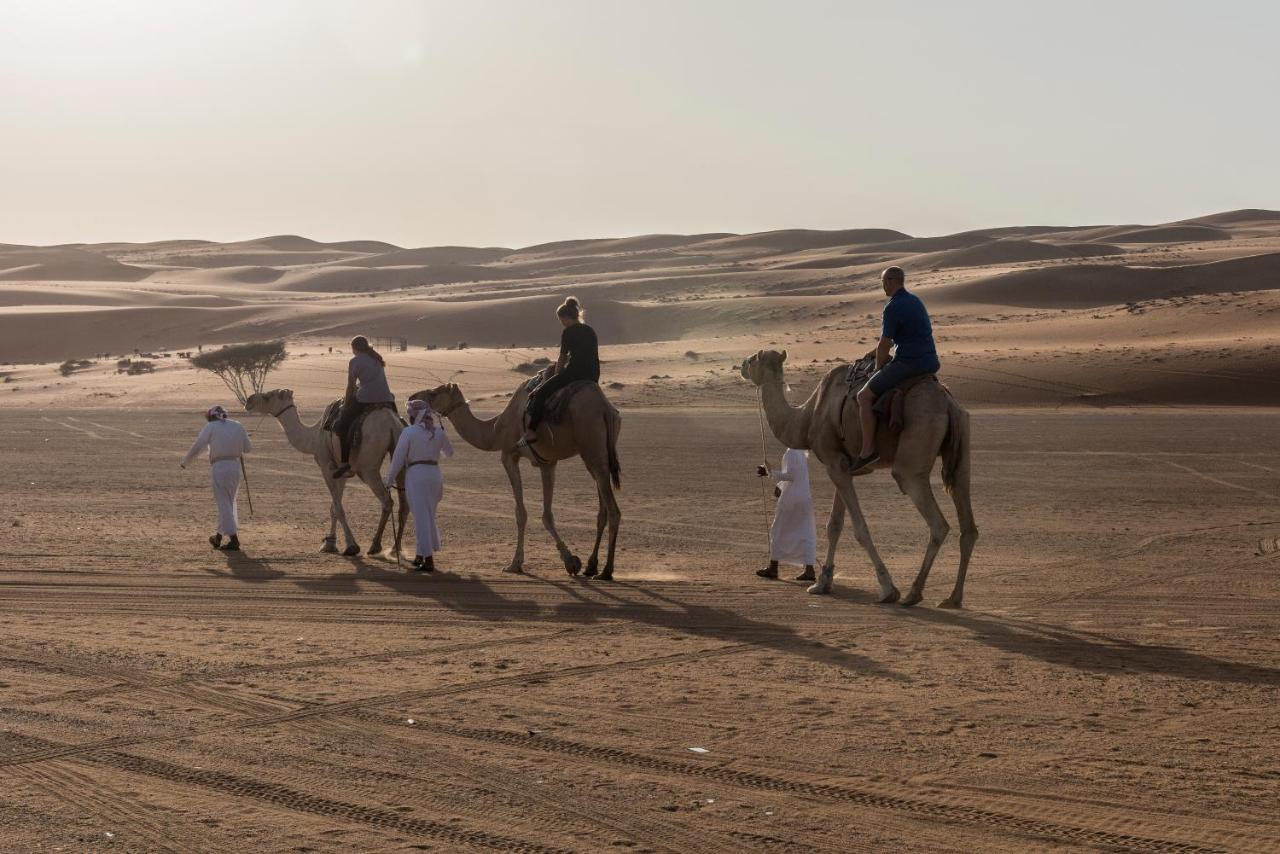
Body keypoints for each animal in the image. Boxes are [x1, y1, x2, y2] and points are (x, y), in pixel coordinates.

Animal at [241, 389, 407, 560]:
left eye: (268, 396)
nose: (248, 401)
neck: (314, 436)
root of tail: (391, 424)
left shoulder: (326, 467)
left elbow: (338, 508)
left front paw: (351, 546)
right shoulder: (340, 472)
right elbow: (333, 507)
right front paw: (329, 544)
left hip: (368, 467)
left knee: (387, 501)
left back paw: (375, 546)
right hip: (400, 454)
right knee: (404, 505)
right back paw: (394, 549)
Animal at [412, 381, 622, 581]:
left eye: (433, 393)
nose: (412, 397)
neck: (495, 430)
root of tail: (606, 409)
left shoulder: (508, 454)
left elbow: (521, 513)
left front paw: (515, 564)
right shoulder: (547, 462)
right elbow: (547, 515)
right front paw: (571, 561)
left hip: (591, 446)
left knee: (613, 511)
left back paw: (606, 571)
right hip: (598, 455)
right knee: (602, 509)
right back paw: (591, 566)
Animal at [737, 348, 972, 606]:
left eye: (755, 358)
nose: (742, 365)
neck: (808, 417)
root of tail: (948, 403)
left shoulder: (834, 463)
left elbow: (860, 529)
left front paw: (888, 589)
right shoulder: (842, 466)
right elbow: (834, 525)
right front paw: (822, 583)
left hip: (914, 454)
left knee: (937, 523)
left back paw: (913, 593)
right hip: (961, 452)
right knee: (968, 523)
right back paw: (954, 598)